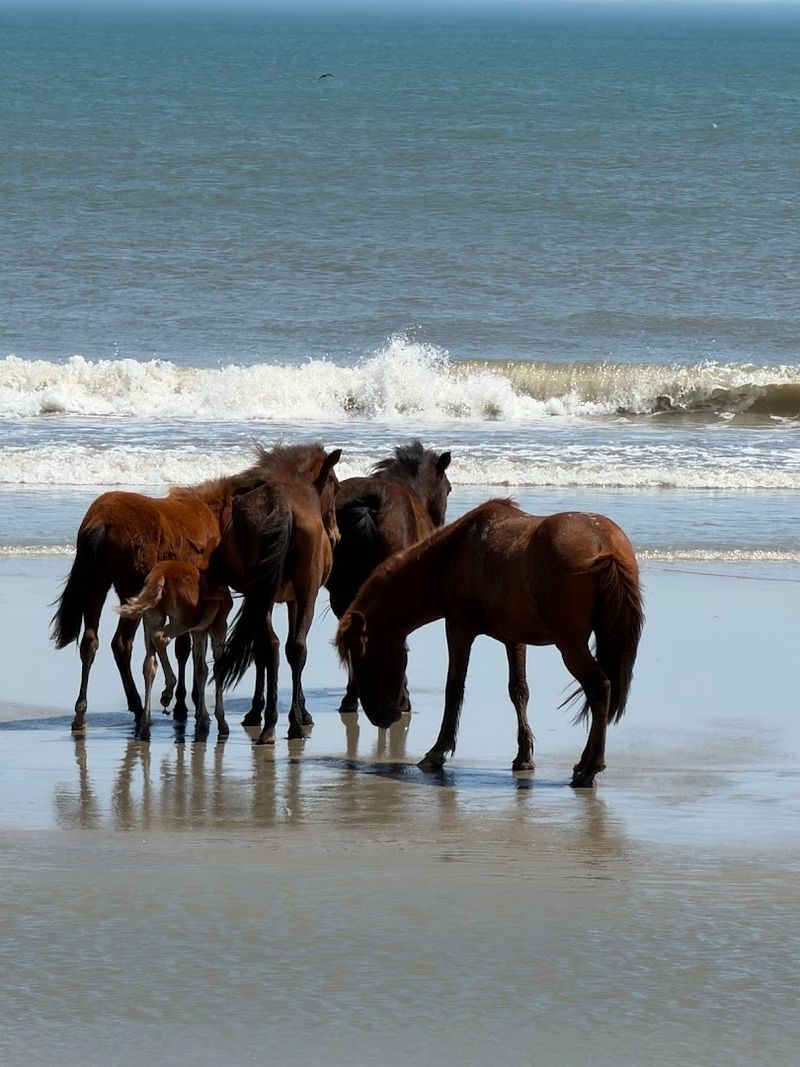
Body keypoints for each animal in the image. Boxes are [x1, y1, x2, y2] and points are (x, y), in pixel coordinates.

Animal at [116, 560, 233, 743]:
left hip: (152, 617)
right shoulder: (219, 625)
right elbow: (217, 666)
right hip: (183, 620)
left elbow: (201, 669)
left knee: (149, 664)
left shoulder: (199, 630)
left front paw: (203, 718)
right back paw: (168, 691)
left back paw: (144, 726)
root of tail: (160, 575)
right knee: (160, 638)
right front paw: (221, 722)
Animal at [213, 447, 341, 745]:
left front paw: (256, 712)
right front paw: (300, 712)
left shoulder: (263, 597)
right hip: (305, 593)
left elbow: (263, 651)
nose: (336, 536)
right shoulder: (293, 599)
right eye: (336, 486)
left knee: (271, 645)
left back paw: (271, 724)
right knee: (294, 647)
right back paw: (291, 723)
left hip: (263, 593)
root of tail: (282, 507)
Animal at [336, 499, 644, 788]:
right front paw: (523, 757)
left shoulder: (458, 629)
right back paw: (583, 765)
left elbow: (454, 688)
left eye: (361, 656)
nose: (380, 718)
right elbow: (518, 691)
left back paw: (589, 768)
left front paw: (438, 752)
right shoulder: (514, 640)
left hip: (571, 645)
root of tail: (606, 545)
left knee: (599, 688)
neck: (453, 553)